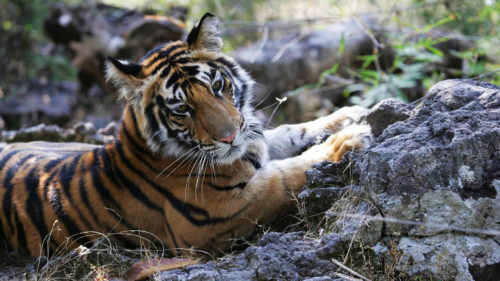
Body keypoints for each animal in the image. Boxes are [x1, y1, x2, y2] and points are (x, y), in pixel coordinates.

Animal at [0, 12, 372, 258]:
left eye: (218, 85)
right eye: (182, 109)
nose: (229, 137)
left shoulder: (252, 140)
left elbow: (288, 132)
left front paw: (347, 115)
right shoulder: (216, 214)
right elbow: (287, 176)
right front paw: (349, 139)